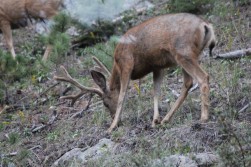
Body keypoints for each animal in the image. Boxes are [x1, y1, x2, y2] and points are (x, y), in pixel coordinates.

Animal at [54, 13, 216, 132]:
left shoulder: (127, 64)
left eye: (105, 103)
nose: (113, 117)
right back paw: (166, 119)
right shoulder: (157, 66)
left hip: (183, 53)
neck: (116, 64)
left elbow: (122, 95)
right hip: (186, 56)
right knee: (188, 83)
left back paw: (203, 117)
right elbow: (156, 91)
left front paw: (111, 127)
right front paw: (155, 120)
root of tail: (205, 25)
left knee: (203, 77)